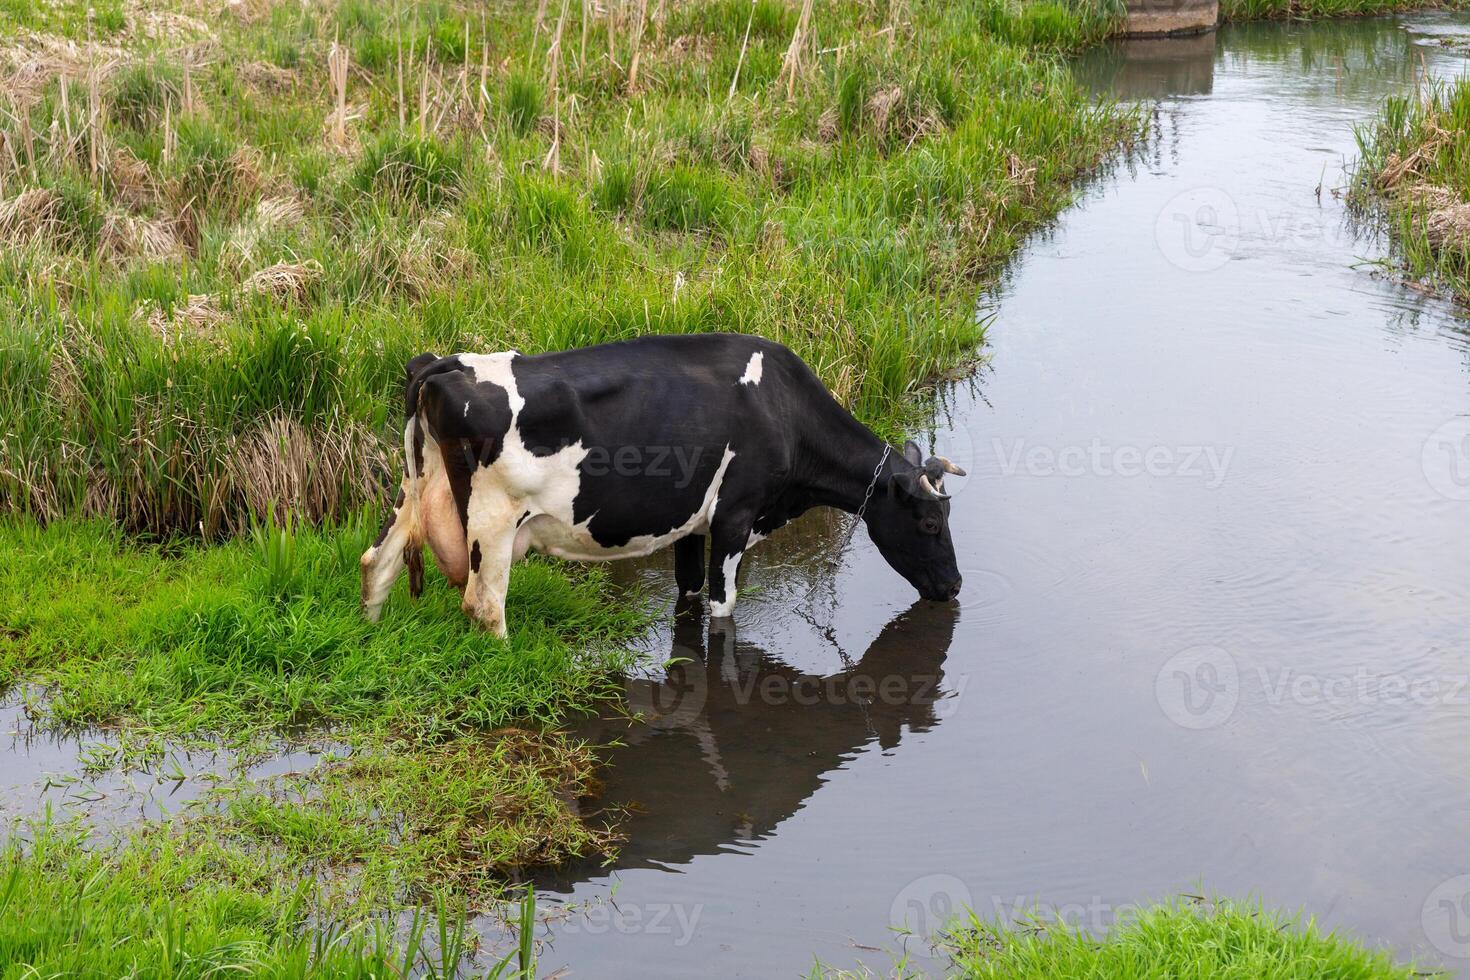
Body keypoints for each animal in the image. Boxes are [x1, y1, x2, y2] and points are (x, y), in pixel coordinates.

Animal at [360, 333, 964, 637]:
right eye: (930, 522)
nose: (955, 585)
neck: (783, 409)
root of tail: (442, 364)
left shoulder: (692, 523)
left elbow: (688, 592)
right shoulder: (734, 515)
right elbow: (722, 602)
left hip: (413, 493)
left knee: (376, 563)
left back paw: (371, 633)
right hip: (492, 521)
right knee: (484, 605)